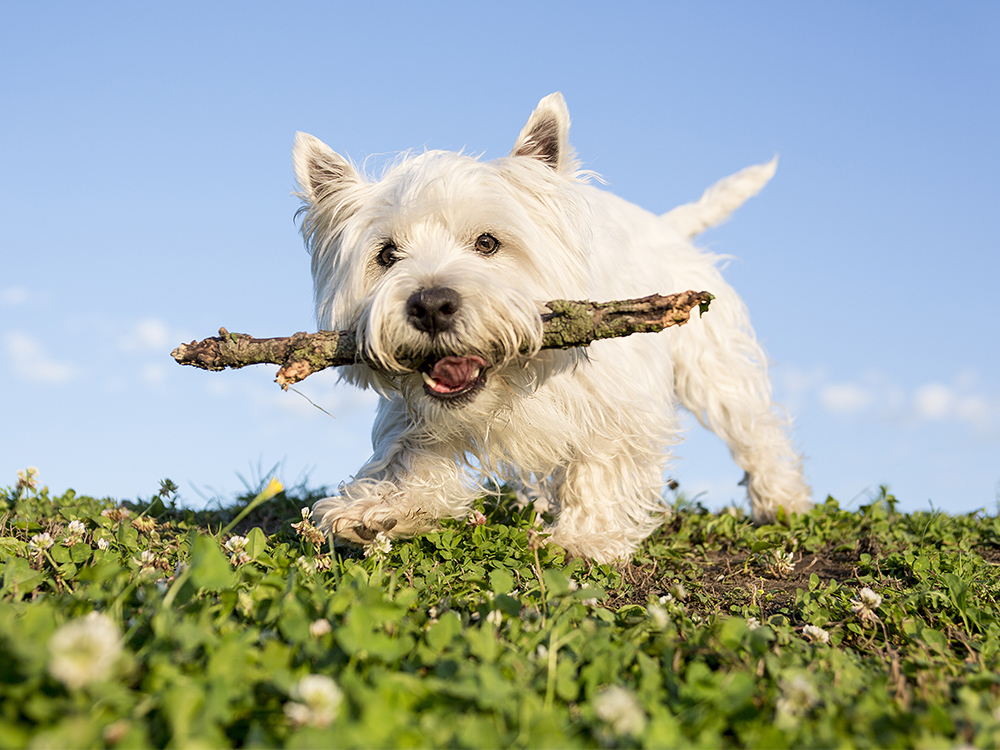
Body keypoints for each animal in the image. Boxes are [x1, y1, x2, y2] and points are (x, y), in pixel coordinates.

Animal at [292, 92, 808, 564]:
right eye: (386, 254)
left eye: (487, 242)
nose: (432, 305)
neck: (512, 382)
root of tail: (665, 226)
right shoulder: (418, 412)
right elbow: (409, 453)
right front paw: (379, 509)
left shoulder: (620, 402)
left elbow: (601, 461)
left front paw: (585, 539)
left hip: (713, 363)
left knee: (754, 427)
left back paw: (781, 501)